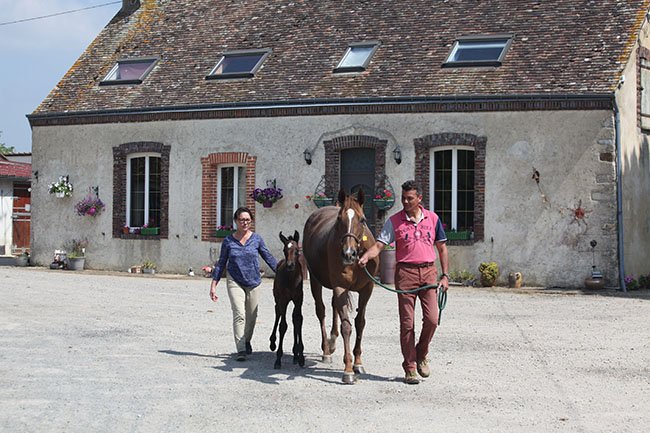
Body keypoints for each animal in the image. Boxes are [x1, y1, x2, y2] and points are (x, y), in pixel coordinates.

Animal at [269, 230, 305, 369]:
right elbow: (283, 326)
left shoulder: (299, 300)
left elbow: (298, 321)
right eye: (284, 250)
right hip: (277, 298)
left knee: (294, 318)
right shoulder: (283, 300)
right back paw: (272, 342)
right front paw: (278, 359)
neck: (291, 279)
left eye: (297, 251)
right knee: (277, 313)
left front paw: (300, 356)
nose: (290, 265)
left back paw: (295, 354)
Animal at [302, 188, 379, 384]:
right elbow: (347, 326)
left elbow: (360, 323)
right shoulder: (340, 286)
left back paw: (332, 340)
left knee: (334, 306)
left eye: (362, 219)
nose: (348, 254)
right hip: (315, 281)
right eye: (339, 220)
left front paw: (358, 362)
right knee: (321, 311)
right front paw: (348, 369)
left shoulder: (367, 289)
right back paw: (326, 350)